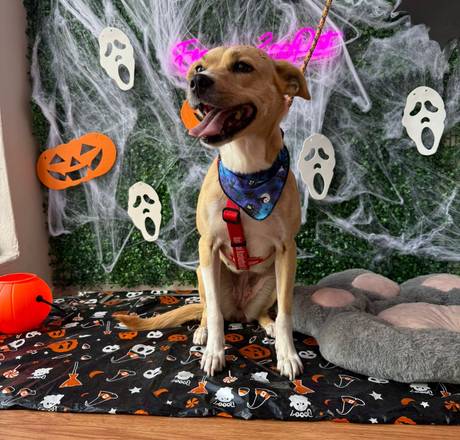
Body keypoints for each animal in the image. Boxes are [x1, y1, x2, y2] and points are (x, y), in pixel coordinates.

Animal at [117, 45, 309, 379]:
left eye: (242, 66)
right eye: (199, 67)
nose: (197, 81)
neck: (247, 174)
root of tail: (240, 309)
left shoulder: (287, 251)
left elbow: (286, 313)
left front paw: (287, 355)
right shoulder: (207, 246)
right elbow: (217, 315)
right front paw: (214, 353)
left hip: (270, 283)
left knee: (259, 314)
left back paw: (267, 324)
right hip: (204, 274)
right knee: (210, 309)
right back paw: (203, 331)